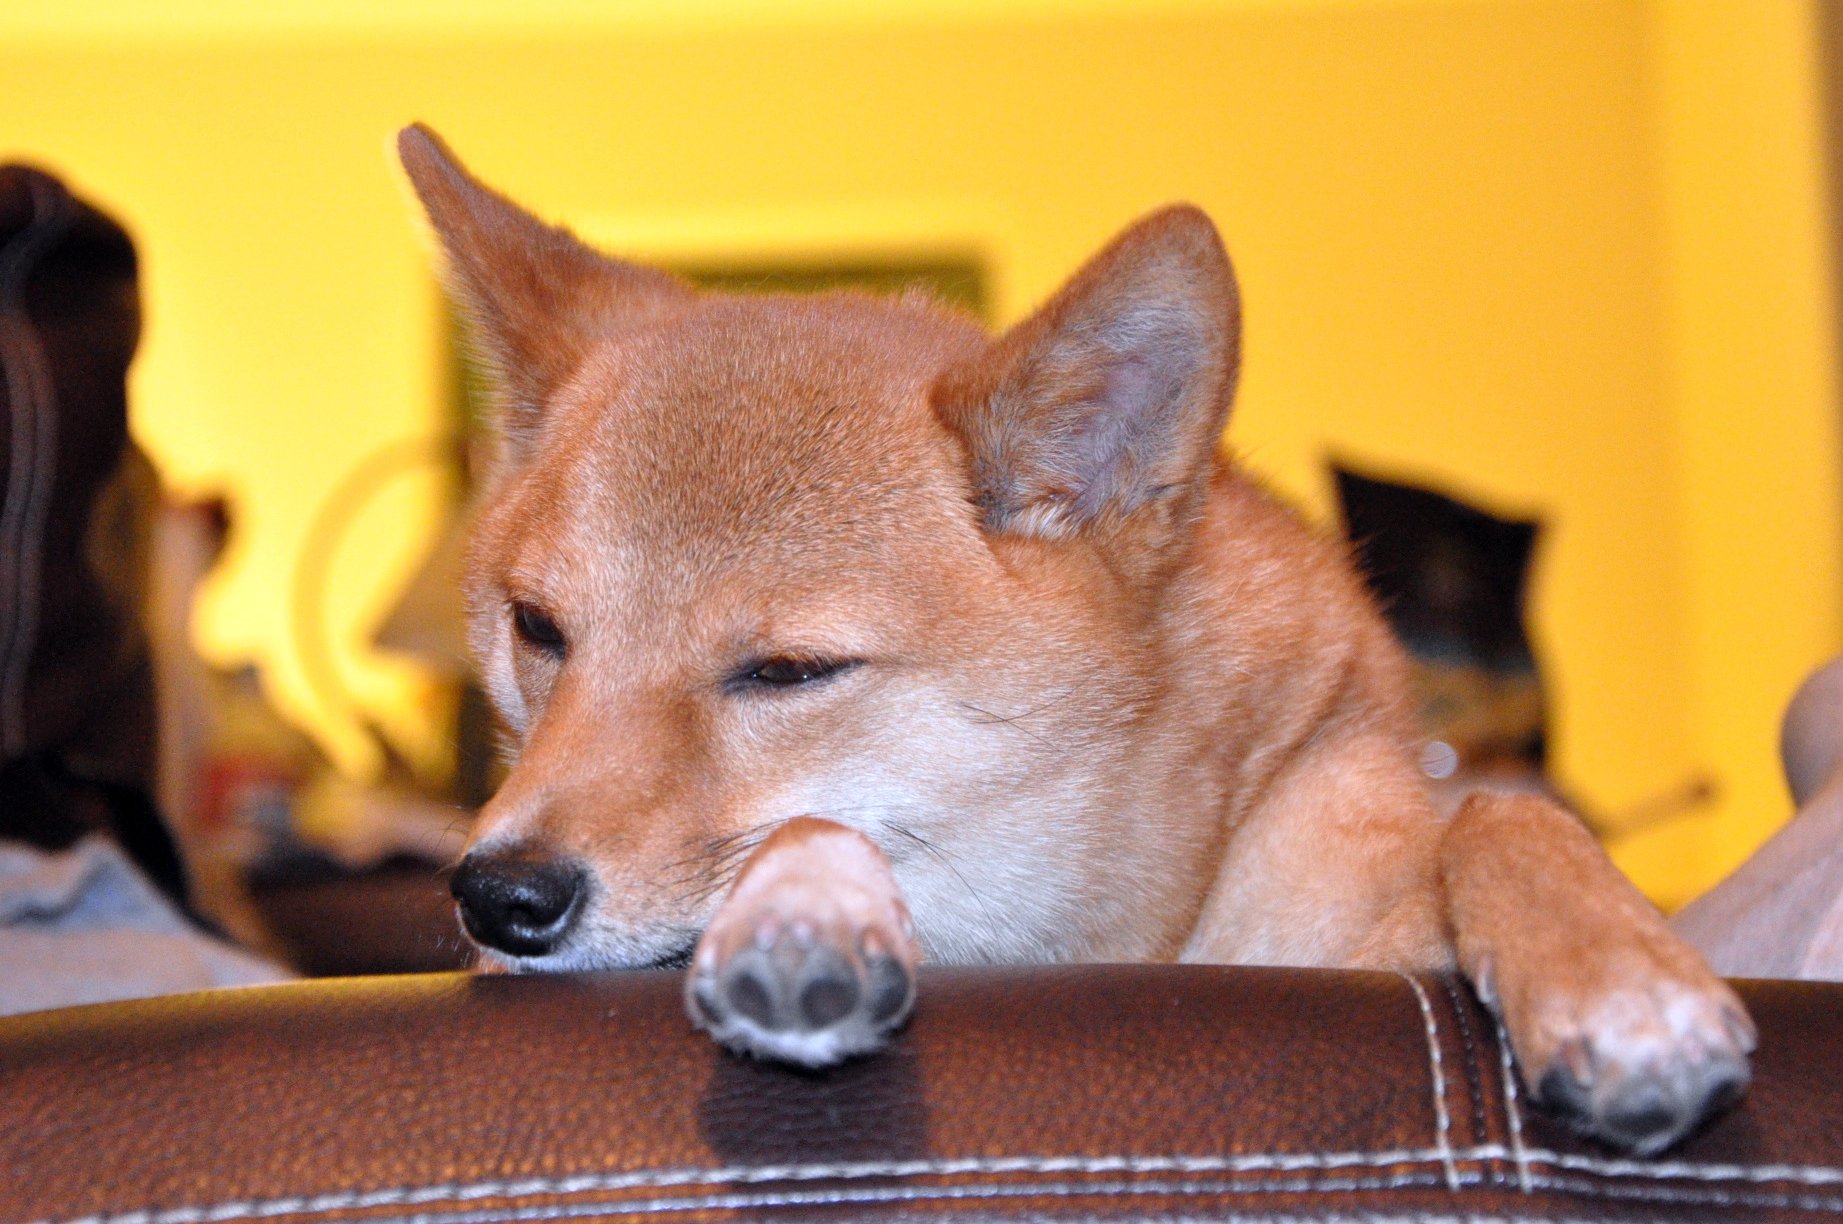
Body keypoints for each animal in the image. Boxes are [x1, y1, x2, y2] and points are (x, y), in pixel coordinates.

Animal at [403, 126, 1754, 1157]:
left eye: (787, 672)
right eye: (538, 628)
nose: (500, 898)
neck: (1126, 934)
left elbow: (1499, 815)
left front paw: (1617, 976)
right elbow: (812, 834)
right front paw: (805, 916)